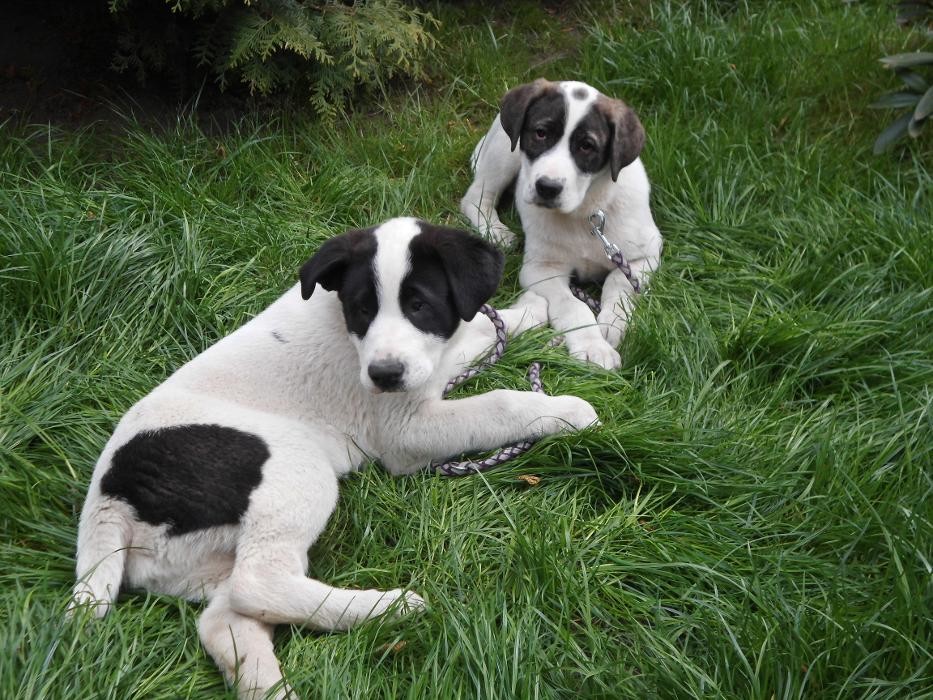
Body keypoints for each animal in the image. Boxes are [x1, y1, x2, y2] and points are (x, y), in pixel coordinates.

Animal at [71, 216, 596, 696]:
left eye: (419, 305)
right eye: (361, 309)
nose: (384, 375)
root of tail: (111, 502)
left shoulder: (430, 365)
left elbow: (479, 327)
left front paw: (530, 312)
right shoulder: (406, 430)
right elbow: (500, 402)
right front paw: (566, 410)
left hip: (206, 560)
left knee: (228, 619)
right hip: (298, 465)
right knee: (257, 582)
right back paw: (391, 606)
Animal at [460, 78, 664, 370]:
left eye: (587, 146)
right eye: (540, 133)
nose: (547, 187)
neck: (584, 211)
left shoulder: (644, 256)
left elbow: (619, 284)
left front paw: (612, 324)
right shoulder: (540, 269)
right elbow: (572, 305)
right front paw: (592, 346)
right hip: (504, 151)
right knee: (476, 196)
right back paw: (495, 231)